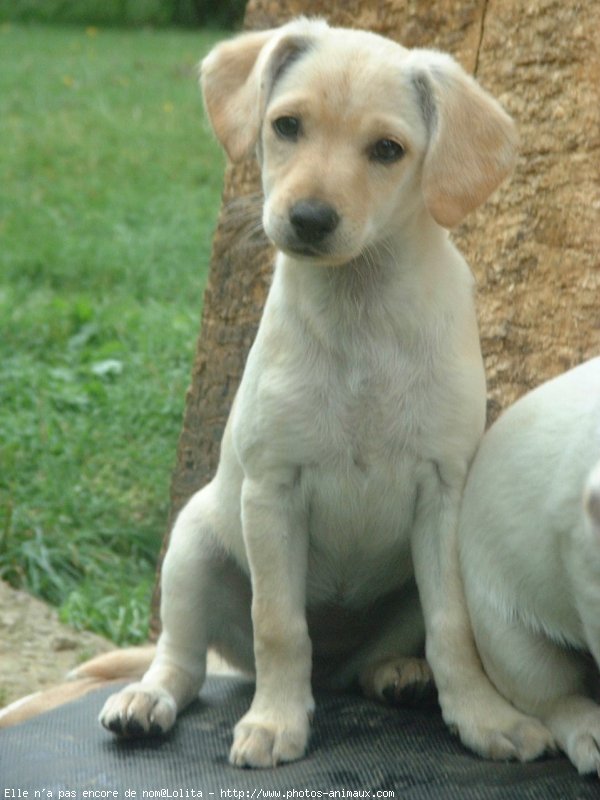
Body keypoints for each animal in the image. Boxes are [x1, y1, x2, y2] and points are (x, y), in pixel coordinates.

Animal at [99, 18, 552, 768]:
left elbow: (453, 626)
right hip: (193, 549)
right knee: (183, 659)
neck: (360, 310)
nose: (309, 218)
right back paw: (147, 701)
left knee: (379, 655)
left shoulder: (444, 495)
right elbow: (280, 625)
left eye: (387, 150)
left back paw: (397, 673)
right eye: (287, 125)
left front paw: (484, 716)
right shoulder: (273, 492)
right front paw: (276, 720)